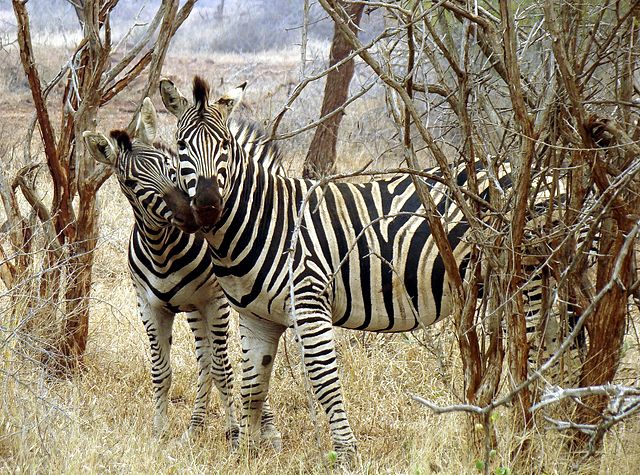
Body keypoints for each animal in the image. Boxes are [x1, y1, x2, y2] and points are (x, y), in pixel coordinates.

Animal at [83, 98, 281, 445]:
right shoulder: (150, 308)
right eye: (131, 184)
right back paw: (195, 427)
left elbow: (225, 369)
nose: (191, 215)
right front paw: (159, 430)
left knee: (237, 359)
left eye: (169, 166)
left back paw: (264, 426)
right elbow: (162, 371)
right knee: (206, 359)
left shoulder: (215, 301)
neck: (163, 250)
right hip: (192, 308)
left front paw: (235, 431)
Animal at [158, 77, 585, 460]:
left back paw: (534, 432)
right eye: (181, 147)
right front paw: (245, 454)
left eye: (225, 147)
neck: (264, 220)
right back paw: (557, 432)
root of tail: (544, 170)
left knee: (536, 352)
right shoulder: (256, 316)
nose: (208, 206)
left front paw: (346, 453)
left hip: (527, 274)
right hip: (548, 281)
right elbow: (253, 388)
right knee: (557, 349)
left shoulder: (310, 300)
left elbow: (324, 381)